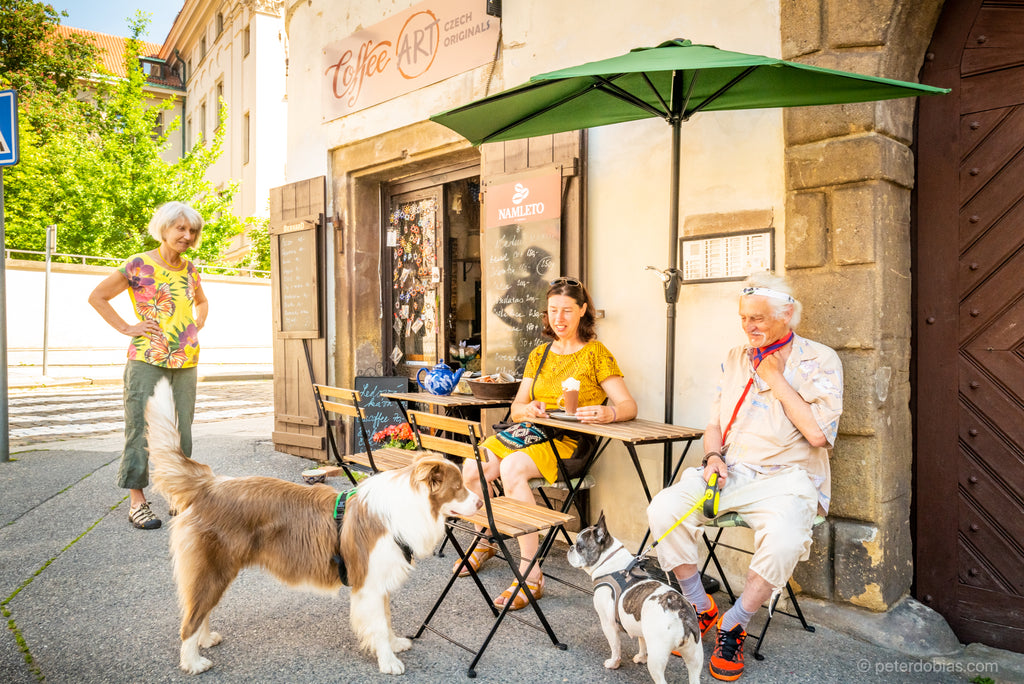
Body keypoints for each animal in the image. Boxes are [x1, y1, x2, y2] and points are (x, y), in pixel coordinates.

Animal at [144, 378, 479, 671]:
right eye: (459, 487)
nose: (479, 503)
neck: (407, 507)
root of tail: (209, 485)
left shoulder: (379, 579)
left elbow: (386, 619)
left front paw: (395, 643)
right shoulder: (369, 582)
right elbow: (379, 625)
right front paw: (389, 662)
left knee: (199, 611)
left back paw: (205, 641)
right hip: (213, 568)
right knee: (189, 619)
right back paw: (193, 662)